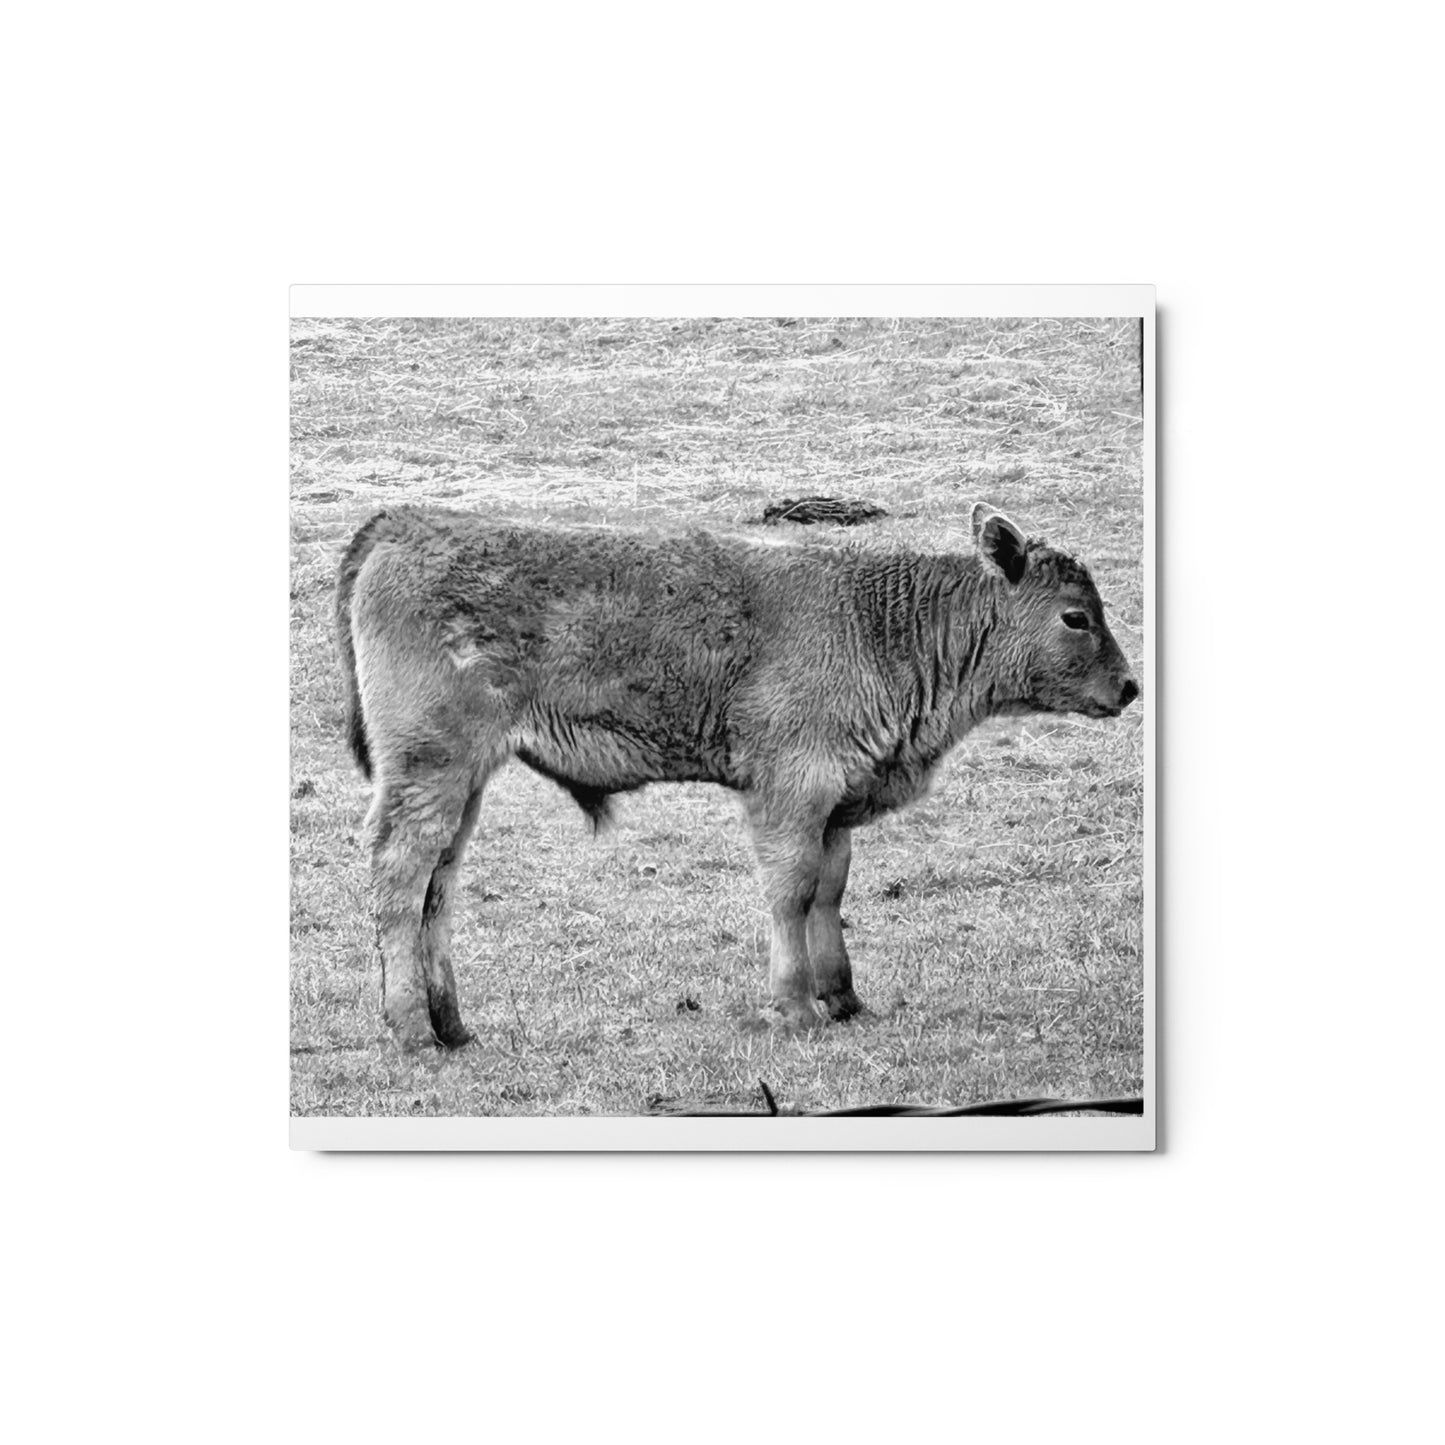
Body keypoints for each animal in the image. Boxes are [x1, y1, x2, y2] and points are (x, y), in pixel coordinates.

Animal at [336, 502, 1140, 1051]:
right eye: (1075, 617)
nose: (1130, 687)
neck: (876, 621)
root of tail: (404, 522)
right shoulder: (790, 792)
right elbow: (791, 892)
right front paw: (794, 1007)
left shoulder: (834, 805)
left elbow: (828, 891)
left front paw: (844, 998)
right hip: (430, 770)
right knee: (400, 875)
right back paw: (411, 1029)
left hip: (463, 782)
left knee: (438, 886)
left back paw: (453, 1025)